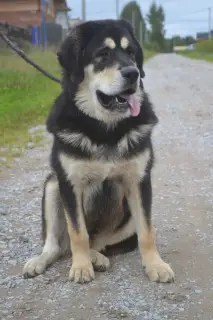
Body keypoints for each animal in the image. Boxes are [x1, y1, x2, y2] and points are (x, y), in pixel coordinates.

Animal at [22, 19, 175, 282]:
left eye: (131, 53)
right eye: (103, 54)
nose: (133, 73)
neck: (105, 129)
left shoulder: (139, 182)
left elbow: (147, 232)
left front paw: (156, 265)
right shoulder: (69, 184)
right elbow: (78, 233)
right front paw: (81, 266)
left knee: (100, 243)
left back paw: (97, 257)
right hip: (52, 186)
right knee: (56, 245)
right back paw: (42, 261)